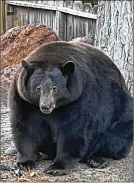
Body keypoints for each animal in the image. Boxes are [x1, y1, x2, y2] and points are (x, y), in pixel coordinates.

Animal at [8, 40, 133, 175]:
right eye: (38, 88)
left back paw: (97, 159)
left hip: (120, 110)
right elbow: (25, 126)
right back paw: (41, 153)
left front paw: (57, 167)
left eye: (55, 88)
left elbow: (74, 129)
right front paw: (25, 163)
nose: (46, 106)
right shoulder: (23, 99)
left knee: (115, 137)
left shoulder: (80, 96)